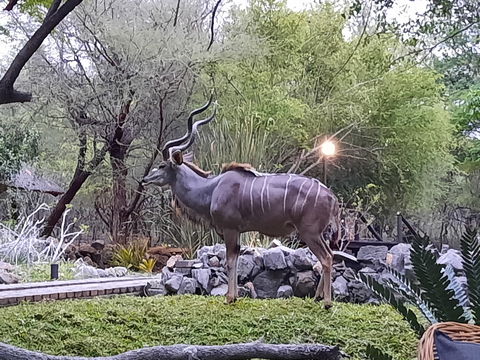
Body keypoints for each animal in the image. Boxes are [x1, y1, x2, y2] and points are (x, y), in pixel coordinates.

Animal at [142, 99, 342, 310]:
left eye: (162, 165)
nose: (145, 180)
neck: (211, 189)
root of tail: (332, 197)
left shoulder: (229, 229)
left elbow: (230, 261)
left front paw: (229, 297)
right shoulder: (236, 232)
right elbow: (236, 259)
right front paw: (235, 296)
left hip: (309, 232)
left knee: (326, 257)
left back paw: (327, 303)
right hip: (318, 233)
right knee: (330, 255)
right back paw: (317, 297)